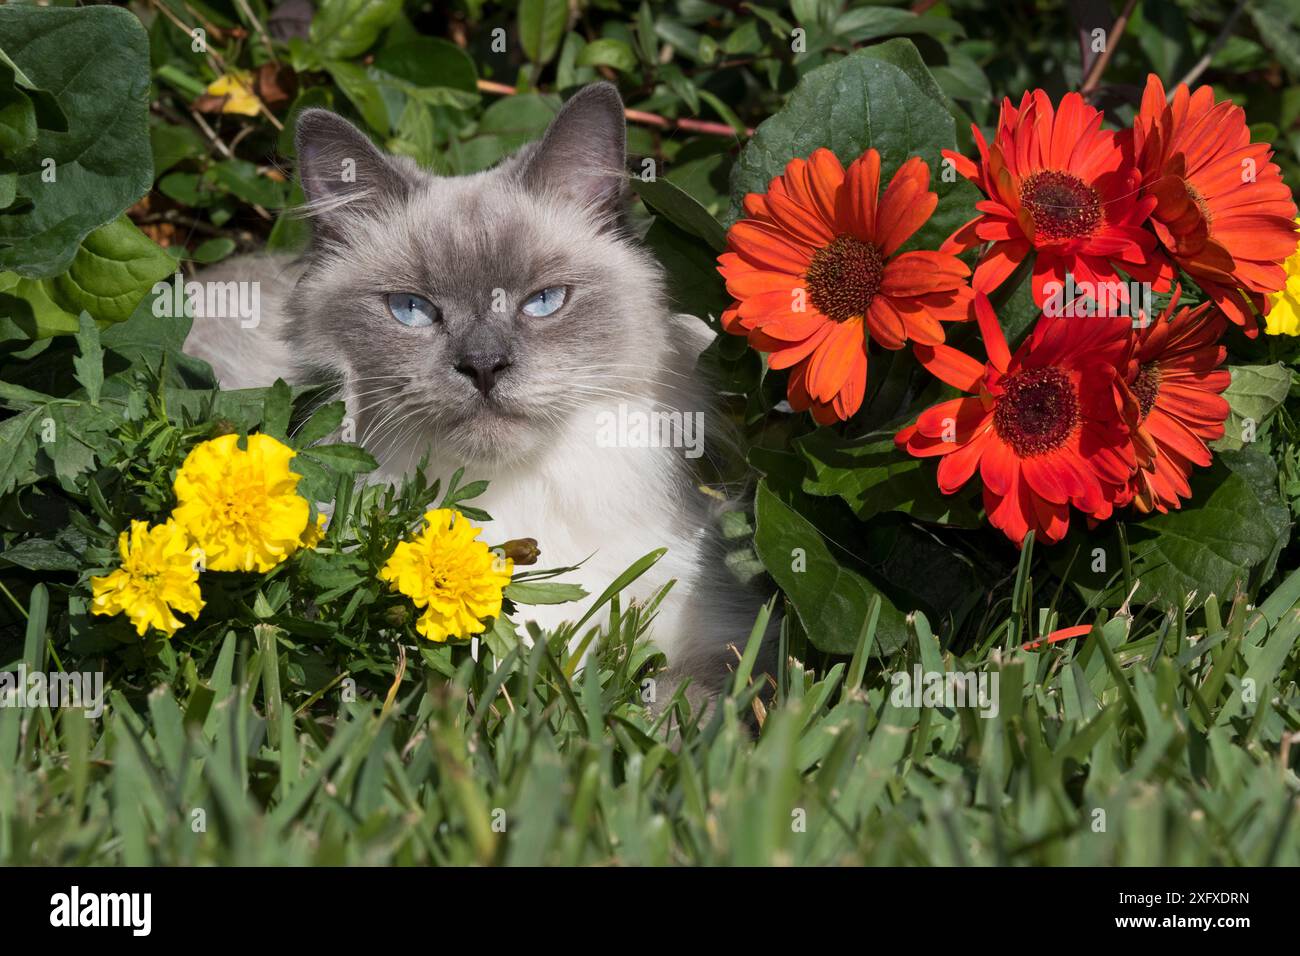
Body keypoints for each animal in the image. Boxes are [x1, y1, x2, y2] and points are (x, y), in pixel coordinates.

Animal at [184, 83, 769, 697]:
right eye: (411, 309)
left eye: (543, 302)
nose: (484, 366)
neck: (508, 500)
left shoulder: (710, 647)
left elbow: (685, 704)